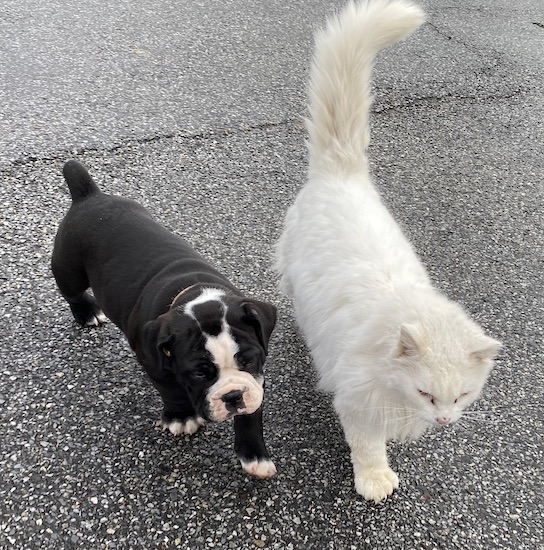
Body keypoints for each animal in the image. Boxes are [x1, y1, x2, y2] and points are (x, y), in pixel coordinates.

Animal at [52, 162, 276, 480]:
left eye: (247, 359)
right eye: (199, 373)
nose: (232, 396)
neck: (194, 294)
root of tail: (89, 196)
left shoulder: (255, 379)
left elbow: (251, 412)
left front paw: (254, 454)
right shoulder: (152, 360)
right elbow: (171, 390)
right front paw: (181, 417)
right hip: (69, 268)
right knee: (71, 290)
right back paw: (87, 312)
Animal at [276, 0, 502, 506]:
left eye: (461, 397)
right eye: (427, 393)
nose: (444, 421)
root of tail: (341, 173)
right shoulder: (359, 400)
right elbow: (368, 446)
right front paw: (375, 480)